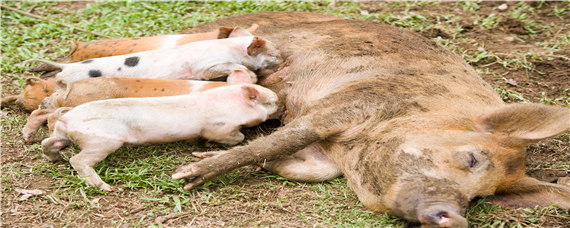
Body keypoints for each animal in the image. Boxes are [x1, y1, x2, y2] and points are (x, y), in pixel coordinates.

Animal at [42, 83, 278, 191]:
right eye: (272, 102)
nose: (281, 104)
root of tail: (68, 117)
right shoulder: (219, 127)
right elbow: (233, 138)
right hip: (102, 141)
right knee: (78, 160)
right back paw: (105, 187)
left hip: (63, 134)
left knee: (47, 142)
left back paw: (54, 158)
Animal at [172, 12, 568, 228]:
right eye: (472, 158)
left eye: (481, 198)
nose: (457, 218)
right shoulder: (354, 100)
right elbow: (290, 136)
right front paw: (187, 174)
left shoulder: (330, 153)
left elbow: (308, 167)